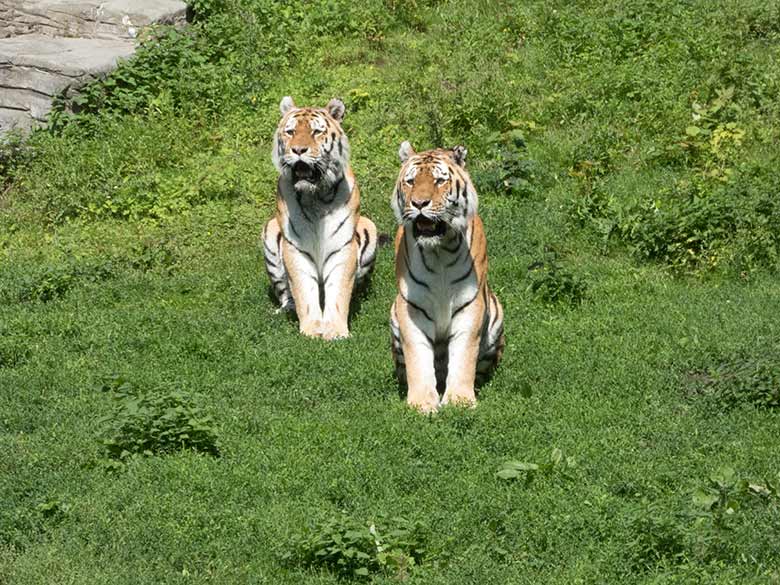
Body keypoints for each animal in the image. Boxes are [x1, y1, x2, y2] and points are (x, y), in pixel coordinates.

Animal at [262, 96, 378, 338]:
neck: (314, 196)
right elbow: (304, 291)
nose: (298, 150)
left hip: (369, 227)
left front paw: (335, 331)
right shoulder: (295, 248)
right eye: (290, 132)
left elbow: (338, 291)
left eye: (316, 132)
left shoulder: (342, 246)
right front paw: (313, 330)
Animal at [390, 141, 506, 410]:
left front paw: (459, 401)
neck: (438, 251)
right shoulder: (411, 307)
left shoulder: (470, 305)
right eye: (410, 181)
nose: (419, 203)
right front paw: (421, 403)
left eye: (439, 181)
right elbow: (417, 357)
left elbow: (464, 355)